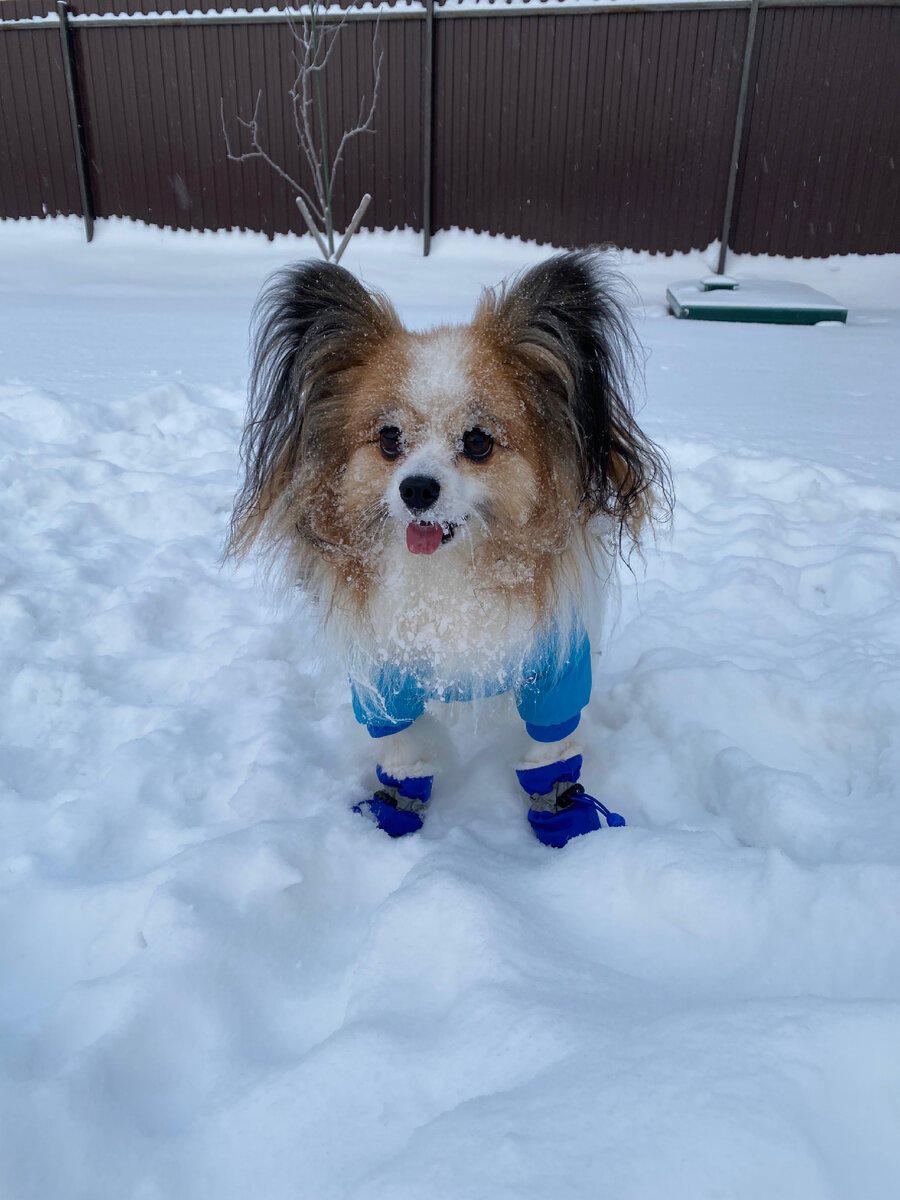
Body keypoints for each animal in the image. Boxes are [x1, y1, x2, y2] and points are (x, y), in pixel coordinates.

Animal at [229, 247, 672, 844]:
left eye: (478, 441)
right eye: (389, 438)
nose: (417, 489)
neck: (448, 579)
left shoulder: (555, 668)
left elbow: (549, 751)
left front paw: (562, 812)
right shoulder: (383, 680)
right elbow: (406, 753)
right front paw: (396, 811)